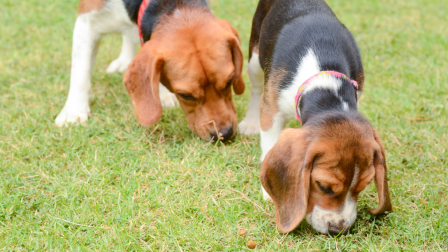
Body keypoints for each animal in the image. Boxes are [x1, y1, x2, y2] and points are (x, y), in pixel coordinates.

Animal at [56, 0, 247, 142]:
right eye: (185, 95)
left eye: (230, 81)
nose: (225, 134)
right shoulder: (86, 22)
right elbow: (80, 73)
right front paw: (73, 111)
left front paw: (163, 94)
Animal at [238, 0, 392, 234]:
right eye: (323, 187)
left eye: (363, 186)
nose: (337, 229)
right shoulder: (272, 110)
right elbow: (269, 142)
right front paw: (267, 191)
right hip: (255, 57)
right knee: (256, 88)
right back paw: (249, 122)